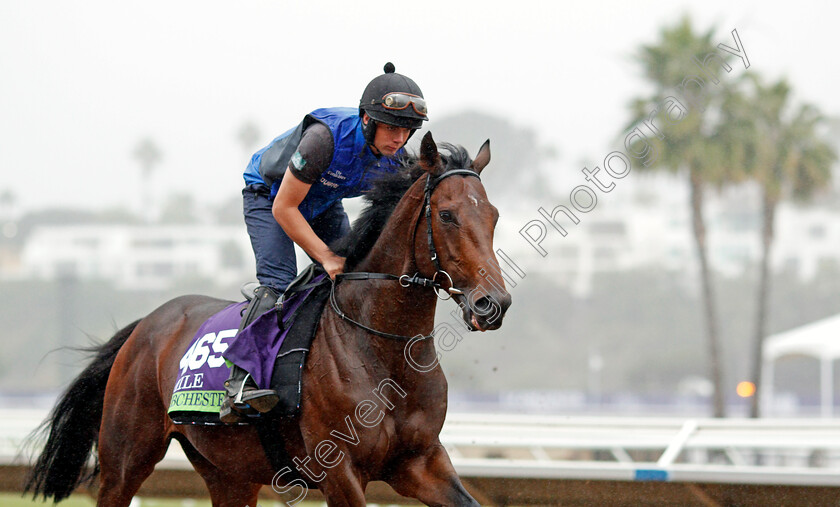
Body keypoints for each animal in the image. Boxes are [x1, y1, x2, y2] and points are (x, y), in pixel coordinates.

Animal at [24, 133, 512, 506]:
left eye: (493, 216)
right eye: (446, 215)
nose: (494, 304)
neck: (382, 346)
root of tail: (145, 325)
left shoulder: (420, 462)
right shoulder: (340, 468)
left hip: (229, 472)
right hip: (126, 459)